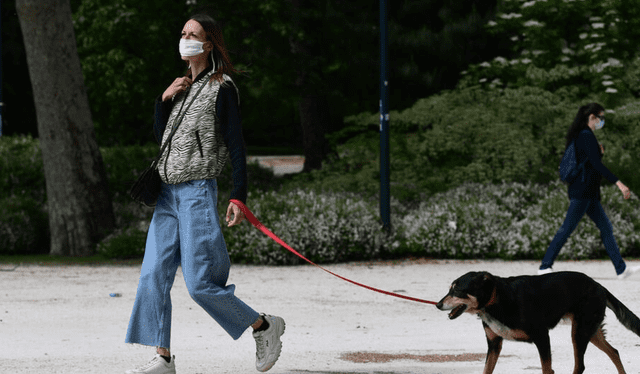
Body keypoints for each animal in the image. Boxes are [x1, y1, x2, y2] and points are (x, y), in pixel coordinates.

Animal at [438, 272, 640, 374]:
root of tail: (599, 285)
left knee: (580, 366)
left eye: (457, 290)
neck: (497, 300)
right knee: (614, 352)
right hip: (590, 331)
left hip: (580, 333)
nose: (438, 304)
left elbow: (547, 370)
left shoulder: (542, 338)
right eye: (449, 289)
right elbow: (487, 370)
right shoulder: (494, 344)